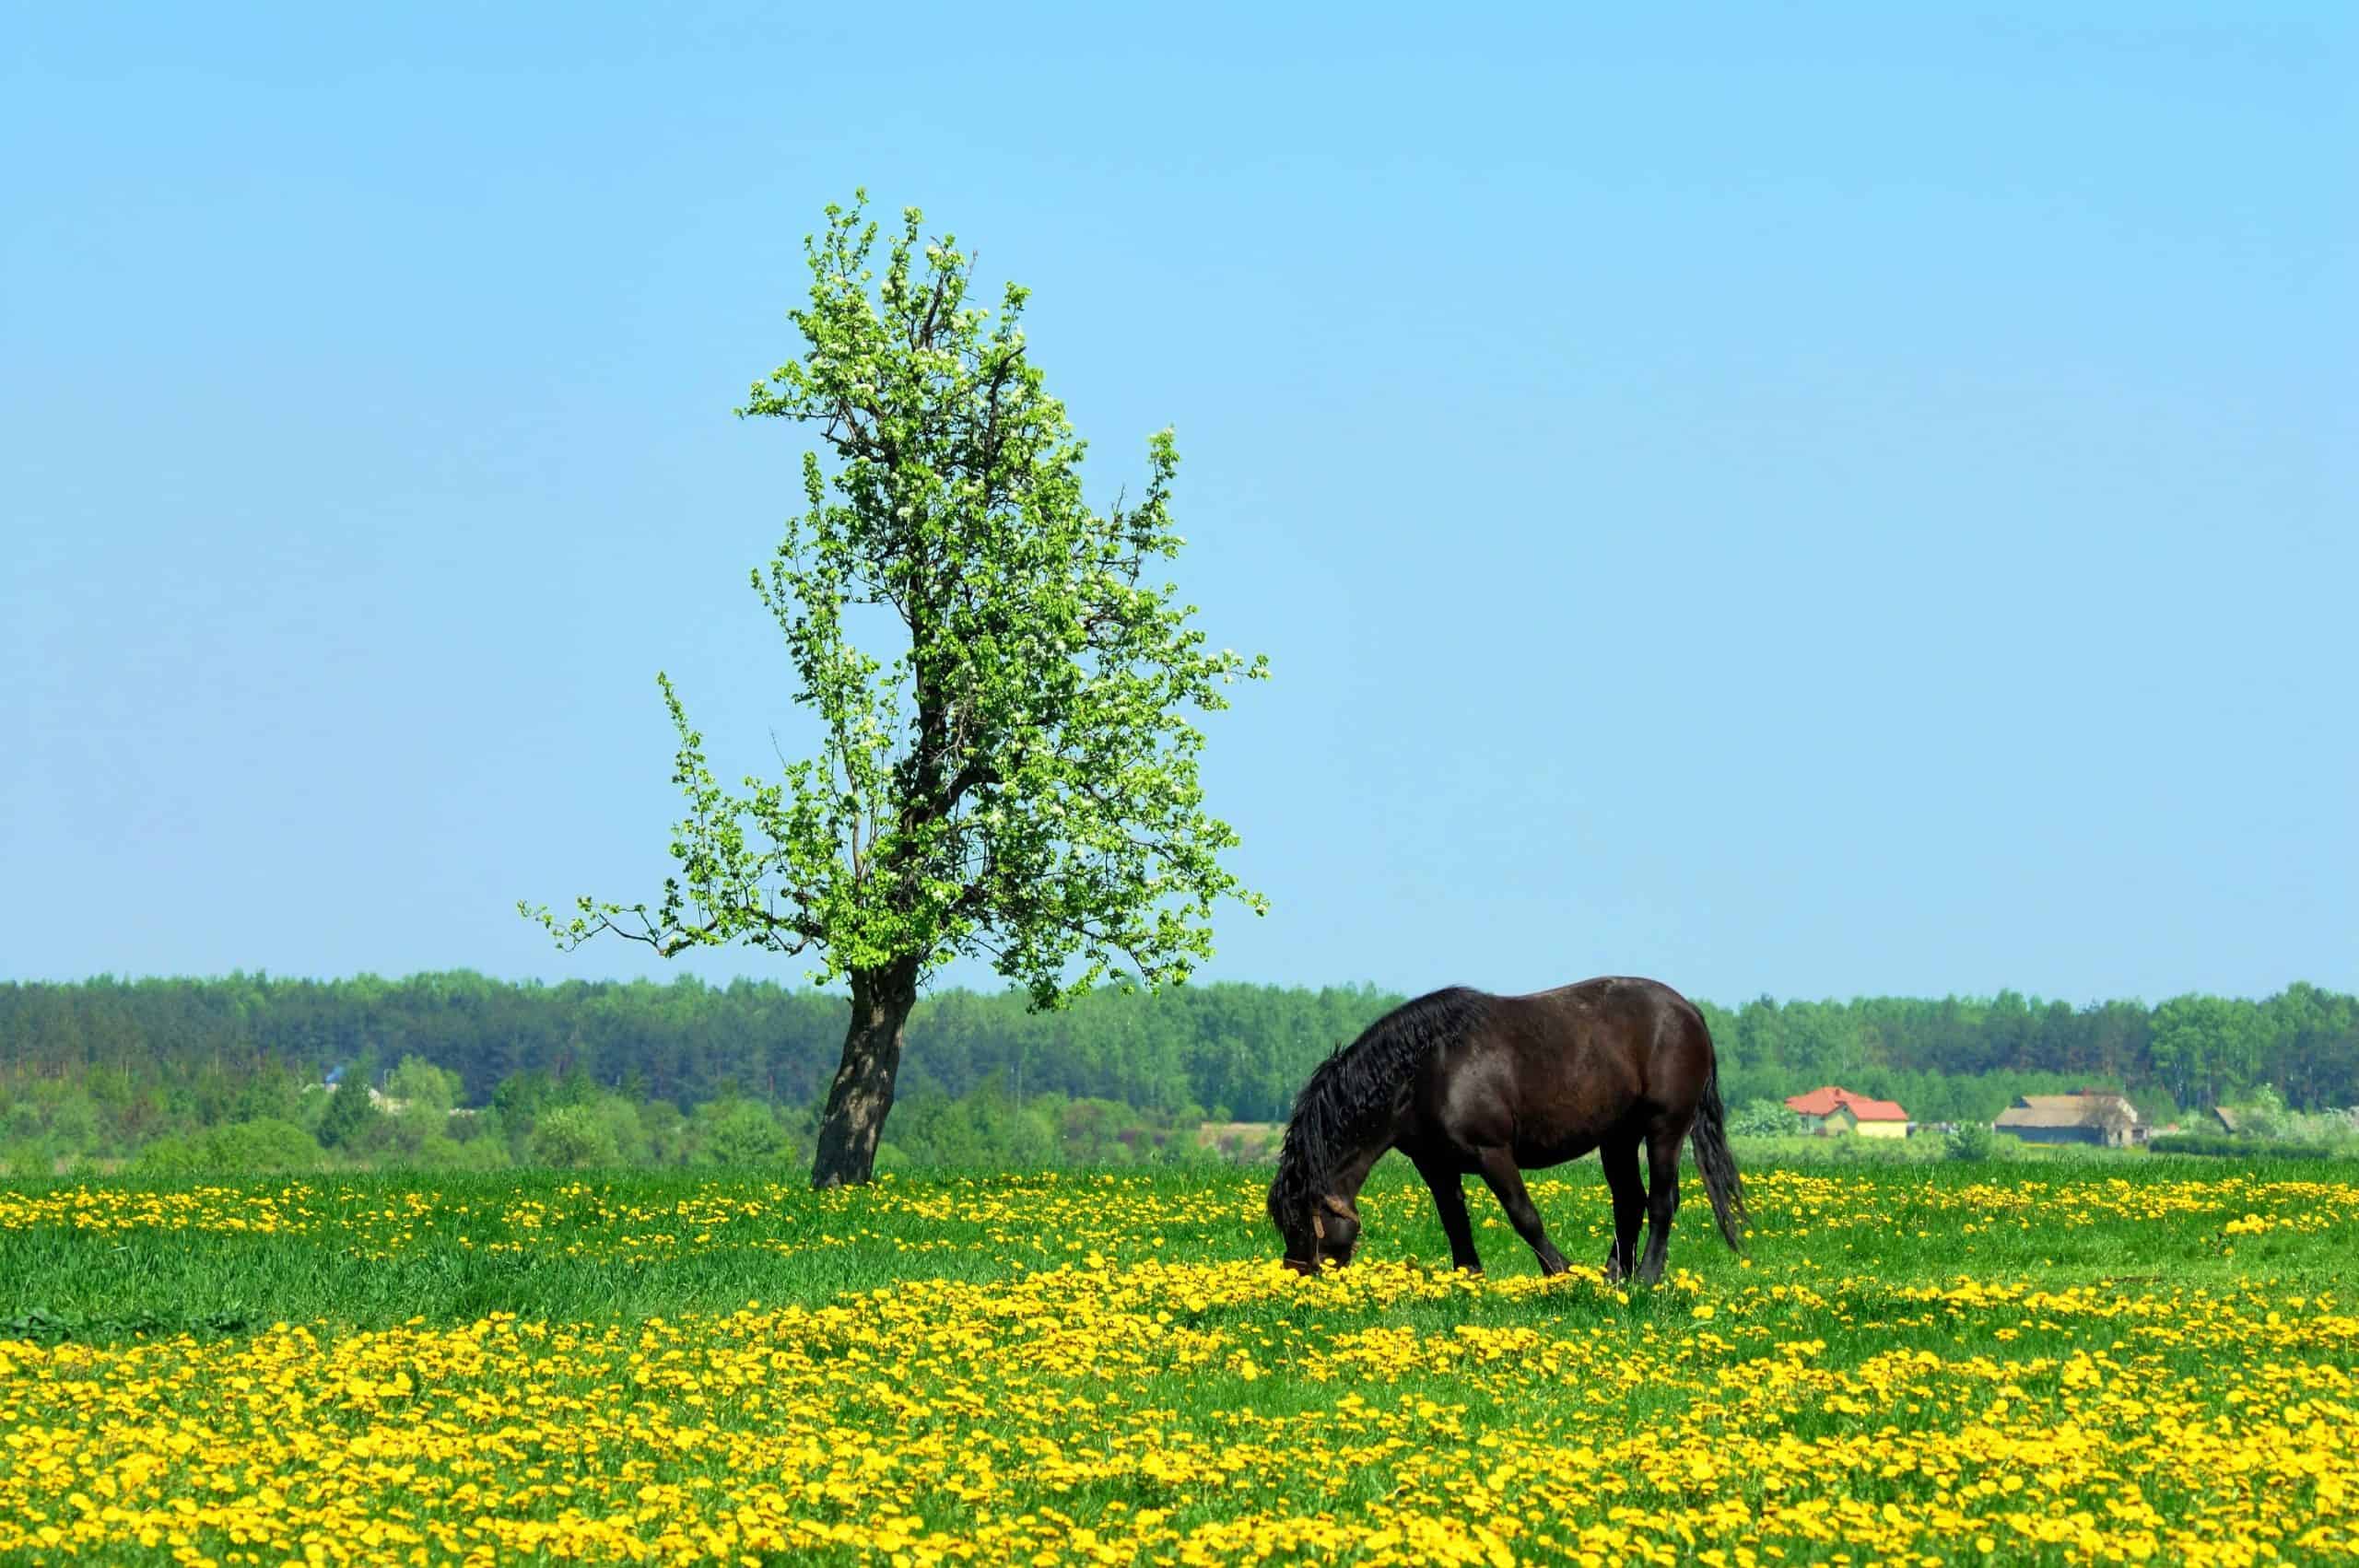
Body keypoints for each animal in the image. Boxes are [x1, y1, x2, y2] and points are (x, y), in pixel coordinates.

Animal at [1265, 977, 1747, 1283]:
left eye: (1301, 1222)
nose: (1298, 1276)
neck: (1428, 1069)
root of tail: (1689, 1011)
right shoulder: (1435, 1164)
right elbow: (1454, 1220)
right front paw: (1469, 1279)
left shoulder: (1492, 1153)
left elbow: (1524, 1215)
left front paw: (1559, 1272)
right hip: (1618, 1138)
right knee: (1629, 1202)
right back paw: (1615, 1277)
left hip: (1665, 1129)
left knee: (1662, 1201)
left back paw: (1646, 1277)